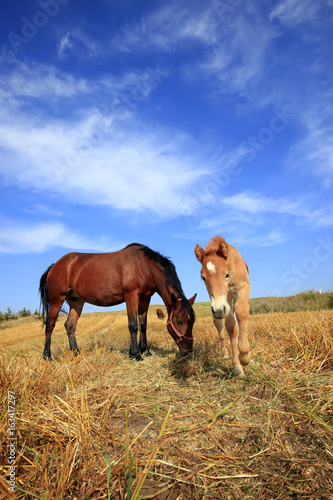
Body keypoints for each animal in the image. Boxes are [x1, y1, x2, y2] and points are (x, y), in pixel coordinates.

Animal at [39, 242, 196, 360]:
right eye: (180, 321)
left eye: (192, 321)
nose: (188, 352)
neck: (143, 266)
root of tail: (55, 265)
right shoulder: (131, 295)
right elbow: (133, 325)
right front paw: (136, 354)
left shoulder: (145, 298)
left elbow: (143, 325)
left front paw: (145, 351)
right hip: (56, 300)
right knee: (50, 325)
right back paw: (47, 356)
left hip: (76, 302)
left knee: (70, 326)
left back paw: (76, 352)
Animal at [195, 236, 249, 376]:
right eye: (203, 278)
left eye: (226, 274)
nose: (218, 310)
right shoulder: (225, 300)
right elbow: (230, 326)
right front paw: (238, 366)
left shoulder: (243, 287)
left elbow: (241, 311)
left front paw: (245, 356)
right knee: (219, 324)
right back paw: (225, 353)